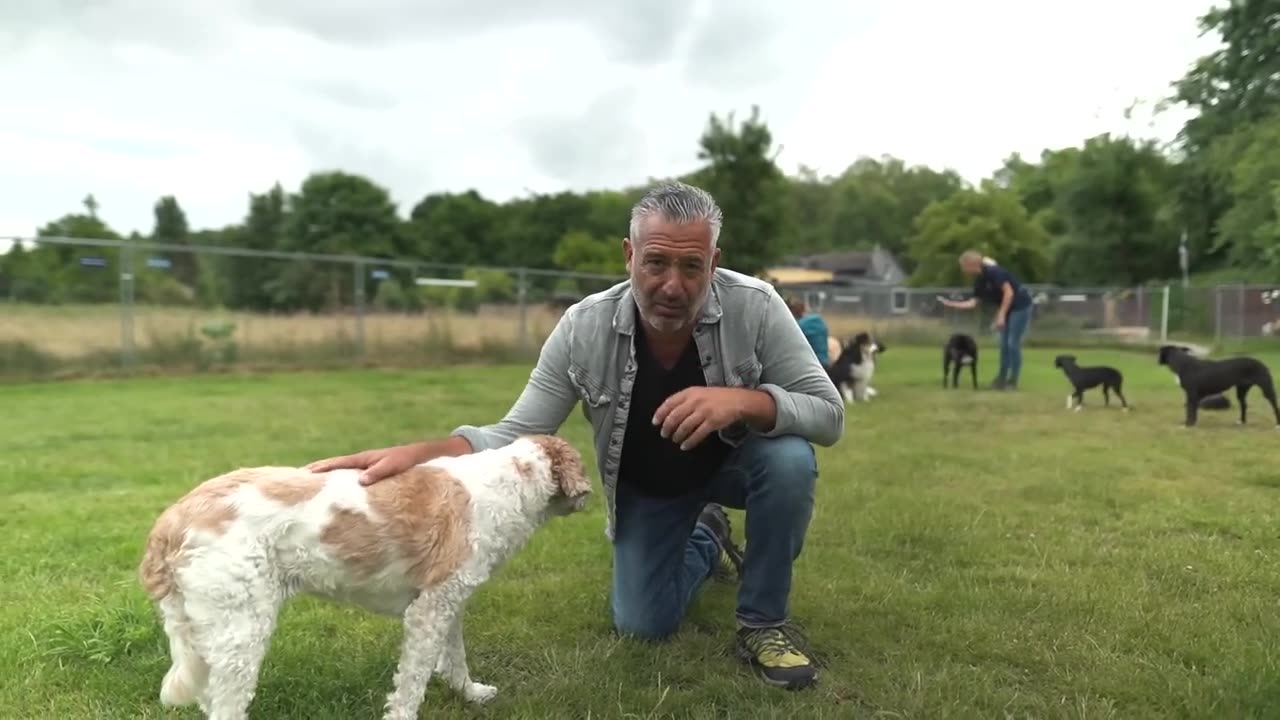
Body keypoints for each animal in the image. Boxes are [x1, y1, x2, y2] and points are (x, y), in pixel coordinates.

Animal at [141, 430, 593, 717]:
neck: (510, 481)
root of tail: (172, 519)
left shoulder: (448, 601)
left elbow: (455, 658)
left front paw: (470, 694)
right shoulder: (429, 611)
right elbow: (412, 682)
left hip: (209, 631)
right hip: (242, 631)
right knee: (226, 703)